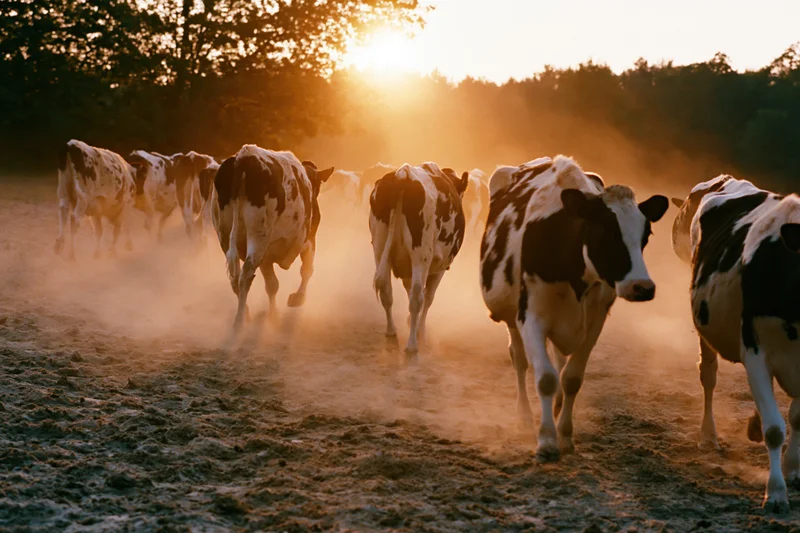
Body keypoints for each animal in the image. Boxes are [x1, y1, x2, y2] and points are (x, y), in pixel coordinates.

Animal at [211, 145, 333, 329]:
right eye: (317, 183)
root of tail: (244, 157)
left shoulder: (267, 256)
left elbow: (272, 284)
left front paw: (273, 314)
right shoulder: (309, 240)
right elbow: (307, 270)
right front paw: (298, 298)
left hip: (225, 236)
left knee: (235, 278)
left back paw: (246, 313)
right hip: (258, 237)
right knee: (245, 275)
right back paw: (239, 320)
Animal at [370, 162, 469, 354]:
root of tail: (403, 174)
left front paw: (410, 322)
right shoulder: (438, 268)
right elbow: (428, 297)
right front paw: (420, 329)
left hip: (379, 247)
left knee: (386, 290)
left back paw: (391, 330)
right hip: (421, 255)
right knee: (417, 296)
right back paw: (412, 344)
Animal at [480, 155, 668, 463]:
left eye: (646, 235)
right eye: (605, 231)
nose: (642, 287)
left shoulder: (595, 320)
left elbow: (571, 378)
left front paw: (565, 436)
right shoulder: (530, 317)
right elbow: (545, 377)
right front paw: (546, 441)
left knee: (558, 360)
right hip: (511, 315)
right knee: (519, 359)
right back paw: (524, 415)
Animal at [671, 175, 800, 512]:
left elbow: (796, 418)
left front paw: (793, 469)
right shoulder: (755, 352)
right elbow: (774, 429)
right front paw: (776, 493)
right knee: (708, 377)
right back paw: (708, 436)